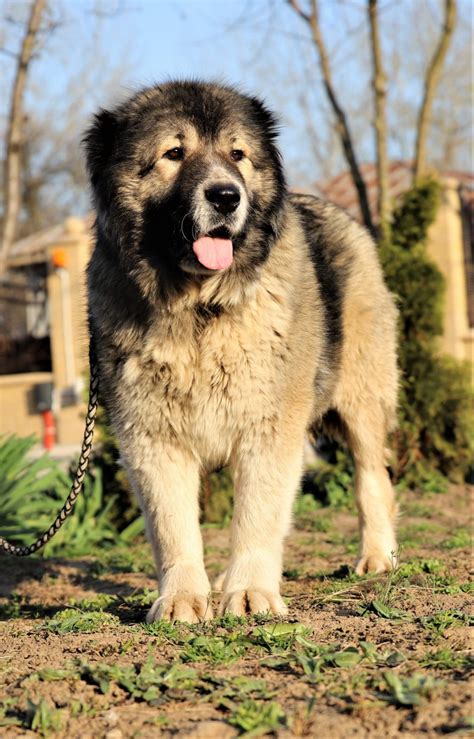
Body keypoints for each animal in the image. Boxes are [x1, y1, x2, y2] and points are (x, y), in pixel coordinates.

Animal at [83, 81, 398, 624]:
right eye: (174, 153)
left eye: (237, 155)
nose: (227, 195)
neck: (198, 308)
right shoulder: (152, 438)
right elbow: (174, 528)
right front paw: (182, 597)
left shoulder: (269, 429)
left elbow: (258, 516)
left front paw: (251, 592)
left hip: (361, 399)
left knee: (371, 476)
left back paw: (377, 555)